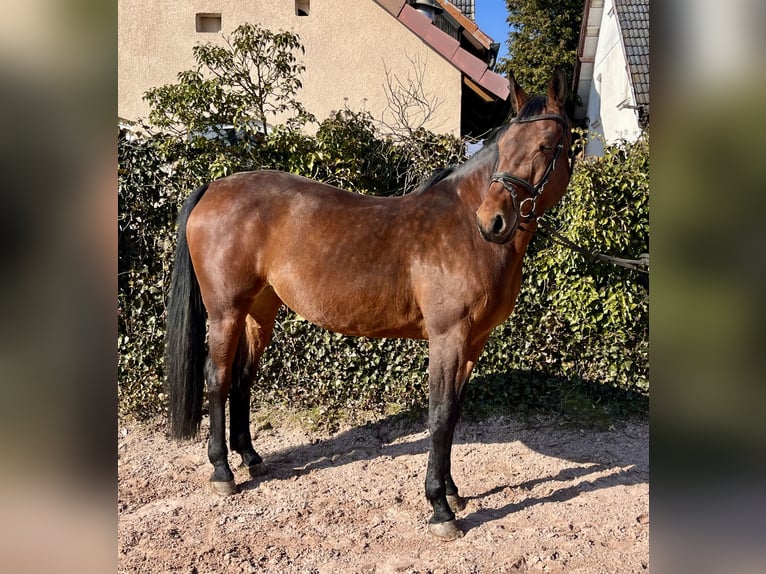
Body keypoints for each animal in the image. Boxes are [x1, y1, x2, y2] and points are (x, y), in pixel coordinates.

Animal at [165, 69, 572, 540]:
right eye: (504, 147)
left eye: (546, 145)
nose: (493, 221)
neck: (463, 231)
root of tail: (215, 186)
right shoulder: (447, 338)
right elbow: (439, 416)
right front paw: (440, 508)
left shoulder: (473, 343)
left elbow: (453, 415)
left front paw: (452, 492)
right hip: (225, 311)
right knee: (217, 378)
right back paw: (222, 472)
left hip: (259, 310)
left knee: (241, 378)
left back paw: (250, 458)